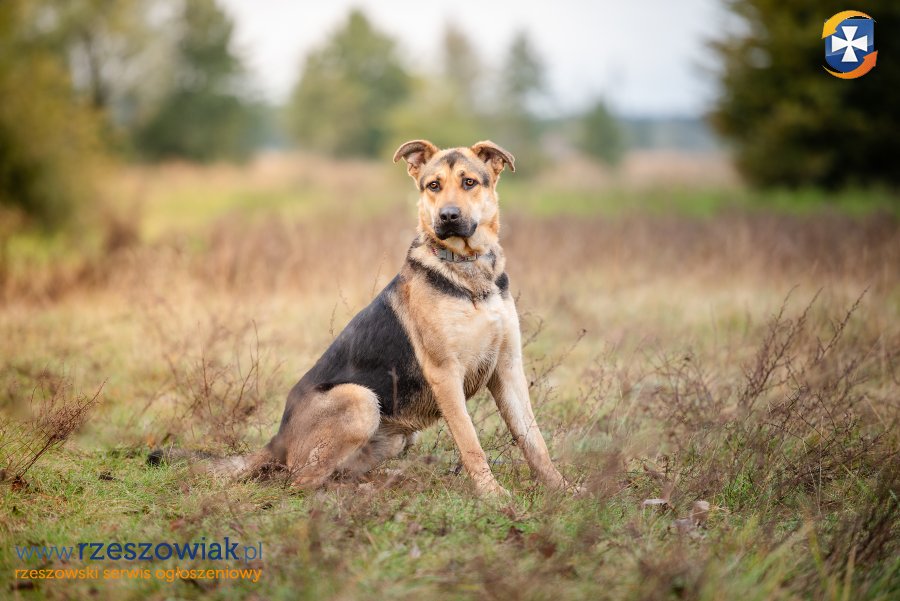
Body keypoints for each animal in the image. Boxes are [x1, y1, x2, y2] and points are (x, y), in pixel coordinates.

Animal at [153, 140, 570, 497]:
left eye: (469, 182)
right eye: (433, 185)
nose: (448, 217)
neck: (468, 272)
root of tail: (278, 439)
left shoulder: (507, 369)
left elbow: (534, 440)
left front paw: (562, 489)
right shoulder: (445, 374)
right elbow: (471, 444)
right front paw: (493, 496)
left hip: (397, 435)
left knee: (330, 473)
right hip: (360, 399)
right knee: (299, 481)